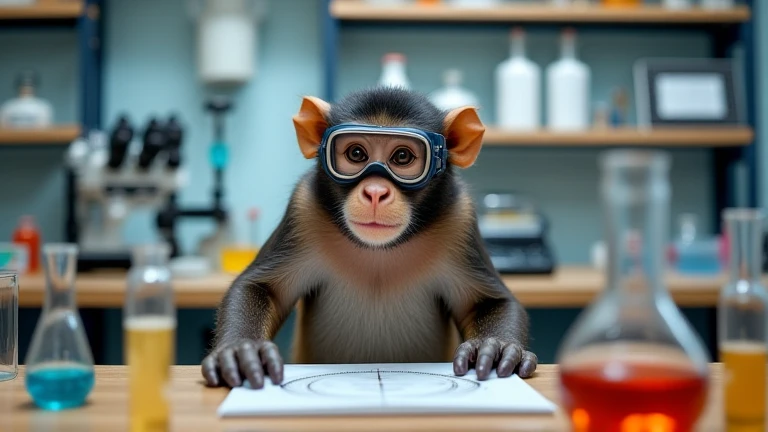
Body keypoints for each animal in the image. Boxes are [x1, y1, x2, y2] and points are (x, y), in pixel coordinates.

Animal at [201, 87, 536, 388]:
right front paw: (243, 350)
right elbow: (261, 287)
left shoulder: (460, 218)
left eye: (402, 156)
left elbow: (490, 301)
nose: (375, 192)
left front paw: (494, 347)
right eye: (356, 154)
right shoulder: (303, 209)